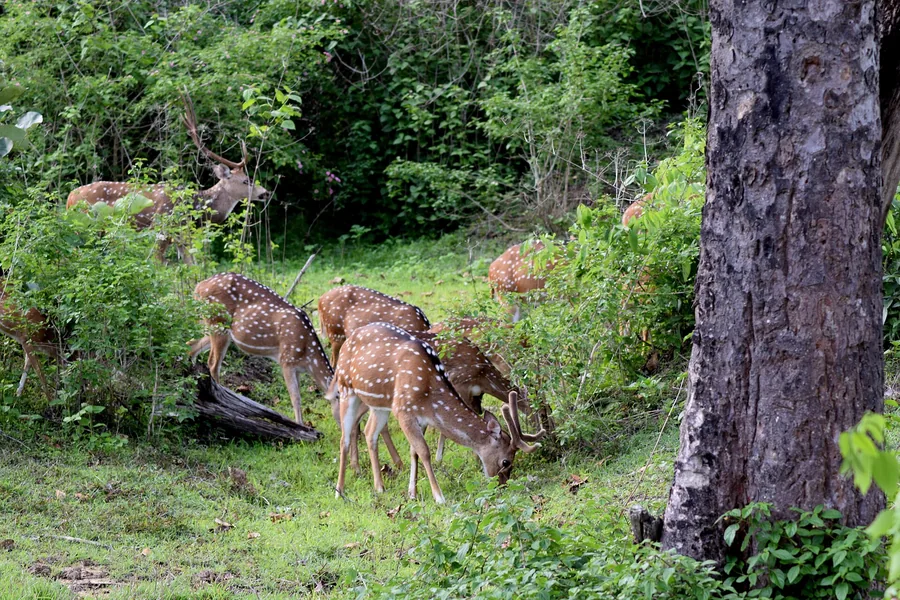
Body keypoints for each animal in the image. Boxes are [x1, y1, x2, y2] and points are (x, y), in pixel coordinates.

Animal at [66, 95, 269, 264]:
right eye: (246, 180)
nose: (266, 193)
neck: (194, 207)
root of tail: (69, 198)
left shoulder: (182, 238)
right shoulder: (161, 230)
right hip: (85, 224)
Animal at [187, 272, 335, 426]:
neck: (308, 358)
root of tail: (198, 287)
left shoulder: (297, 369)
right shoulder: (287, 361)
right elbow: (296, 397)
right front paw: (300, 426)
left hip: (215, 327)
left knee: (191, 345)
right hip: (218, 322)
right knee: (213, 364)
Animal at [329, 322, 544, 504]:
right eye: (506, 461)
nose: (501, 485)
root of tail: (347, 340)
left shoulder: (423, 417)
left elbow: (414, 451)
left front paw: (412, 493)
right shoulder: (404, 410)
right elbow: (425, 451)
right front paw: (439, 496)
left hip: (379, 405)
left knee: (369, 432)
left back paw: (379, 487)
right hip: (348, 390)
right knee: (344, 438)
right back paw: (340, 491)